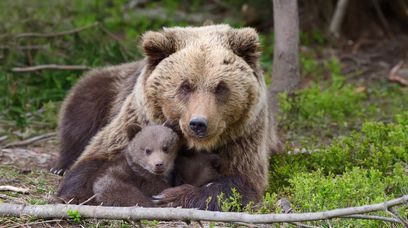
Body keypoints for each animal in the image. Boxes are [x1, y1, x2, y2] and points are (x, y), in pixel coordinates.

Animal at [55, 24, 280, 210]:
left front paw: (170, 196)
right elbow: (93, 160)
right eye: (185, 86)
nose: (198, 124)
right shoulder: (138, 120)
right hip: (108, 88)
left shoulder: (244, 137)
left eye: (220, 87)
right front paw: (78, 193)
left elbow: (239, 183)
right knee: (81, 111)